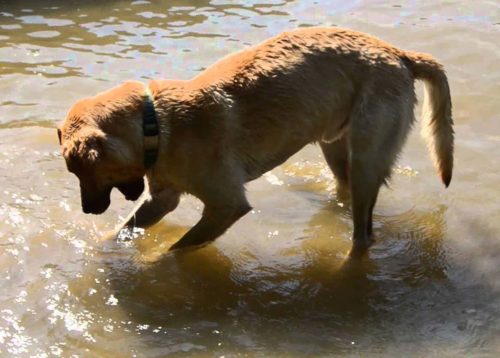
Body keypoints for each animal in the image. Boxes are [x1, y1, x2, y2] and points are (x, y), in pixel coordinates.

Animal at [57, 28, 454, 258]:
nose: (87, 211)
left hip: (366, 160)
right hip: (336, 147)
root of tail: (399, 54)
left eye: (83, 172)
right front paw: (101, 246)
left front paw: (155, 263)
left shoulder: (226, 206)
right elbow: (125, 228)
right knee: (344, 196)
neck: (155, 124)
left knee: (363, 235)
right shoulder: (162, 198)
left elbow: (177, 248)